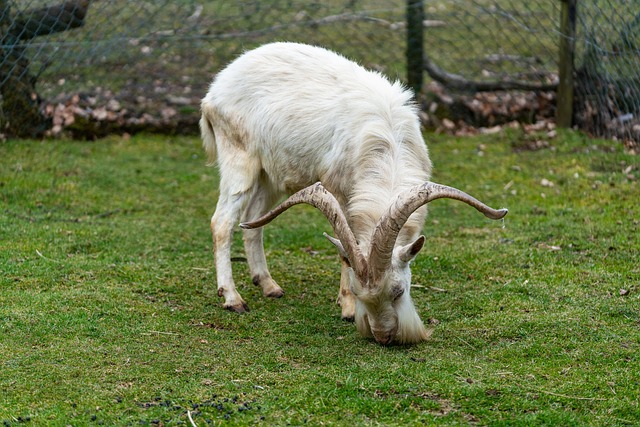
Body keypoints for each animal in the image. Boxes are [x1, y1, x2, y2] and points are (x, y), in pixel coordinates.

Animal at [200, 42, 504, 344]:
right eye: (360, 293)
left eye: (398, 291)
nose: (383, 336)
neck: (385, 141)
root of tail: (214, 91)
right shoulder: (338, 190)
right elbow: (347, 251)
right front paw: (346, 309)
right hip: (240, 161)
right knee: (222, 223)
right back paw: (232, 298)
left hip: (271, 176)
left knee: (252, 221)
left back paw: (269, 285)